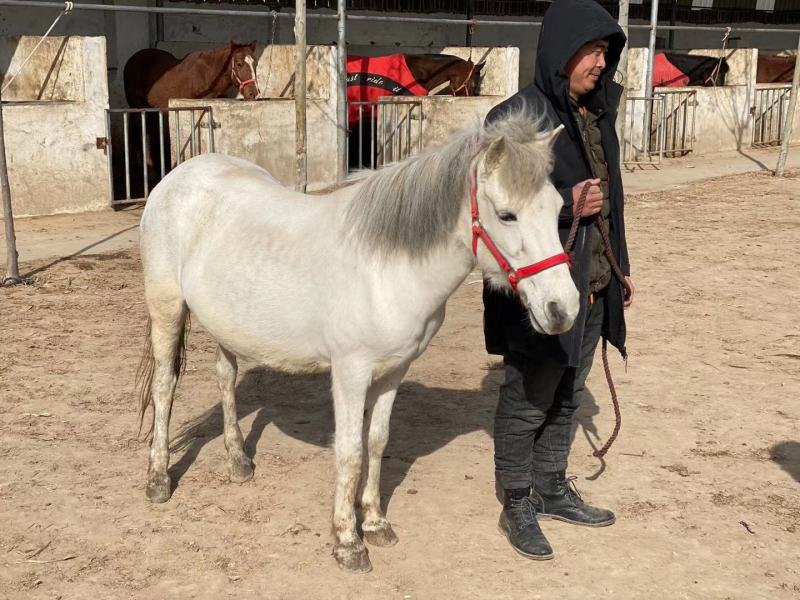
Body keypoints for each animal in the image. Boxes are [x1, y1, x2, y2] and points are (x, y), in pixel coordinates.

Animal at [135, 108, 579, 573]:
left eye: (558, 208)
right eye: (507, 215)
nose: (563, 309)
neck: (384, 268)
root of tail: (181, 174)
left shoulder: (393, 371)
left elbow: (377, 442)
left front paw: (376, 524)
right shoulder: (350, 373)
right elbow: (349, 451)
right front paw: (348, 541)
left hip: (227, 323)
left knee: (225, 377)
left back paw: (238, 462)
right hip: (166, 308)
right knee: (164, 387)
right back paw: (158, 479)